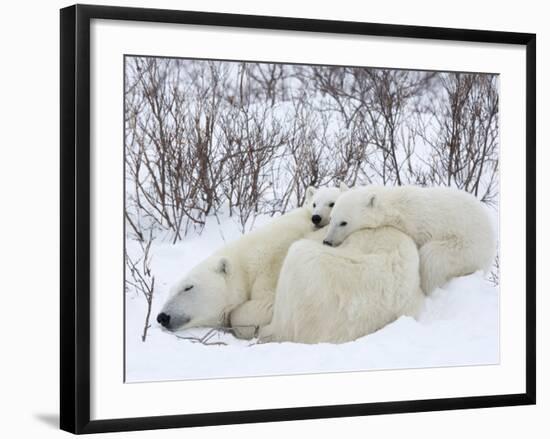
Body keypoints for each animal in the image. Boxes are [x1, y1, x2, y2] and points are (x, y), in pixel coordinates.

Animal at [156, 184, 344, 336]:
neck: (248, 263)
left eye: (188, 287)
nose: (162, 317)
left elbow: (262, 308)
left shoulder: (272, 272)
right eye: (171, 290)